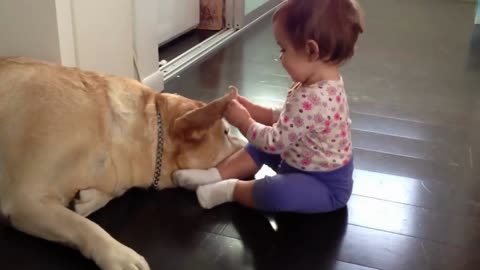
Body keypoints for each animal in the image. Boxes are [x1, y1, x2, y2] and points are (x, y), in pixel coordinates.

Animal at [0, 56, 242, 268]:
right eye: (226, 132)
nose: (249, 143)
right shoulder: (24, 200)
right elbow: (82, 225)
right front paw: (120, 256)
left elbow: (107, 195)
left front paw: (88, 199)